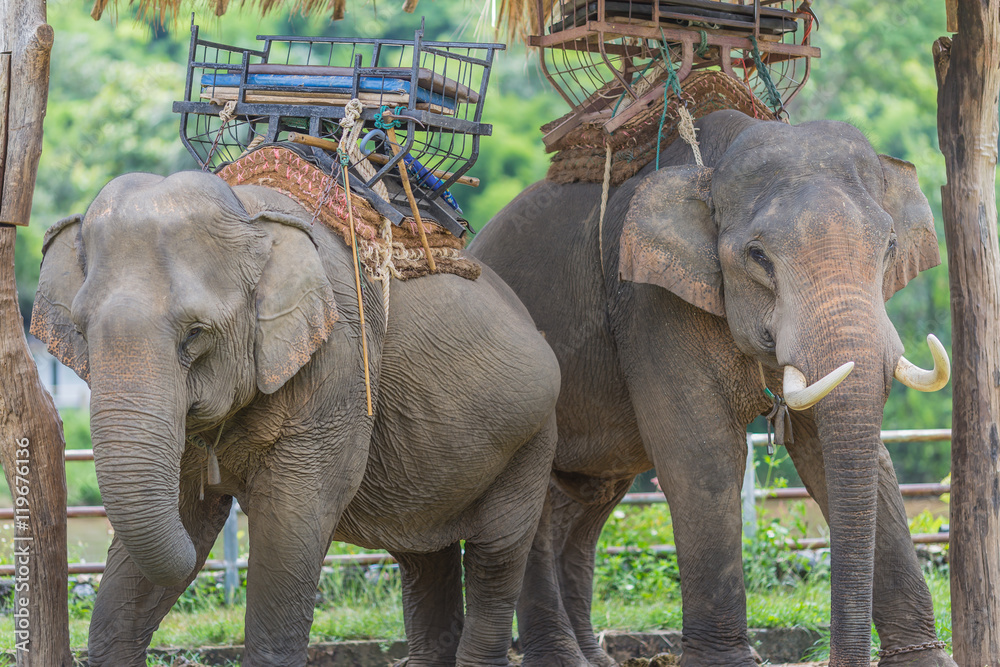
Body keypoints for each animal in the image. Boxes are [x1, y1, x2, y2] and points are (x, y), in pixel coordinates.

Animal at [30, 171, 561, 667]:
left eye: (196, 334)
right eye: (80, 330)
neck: (247, 210)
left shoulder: (340, 359)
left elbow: (291, 520)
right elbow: (182, 516)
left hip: (533, 436)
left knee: (497, 553)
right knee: (426, 562)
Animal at [469, 109, 953, 667]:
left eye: (890, 247)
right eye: (758, 256)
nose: (838, 656)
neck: (713, 169)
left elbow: (852, 457)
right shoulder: (651, 304)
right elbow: (704, 455)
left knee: (589, 504)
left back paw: (593, 658)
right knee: (532, 507)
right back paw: (561, 658)